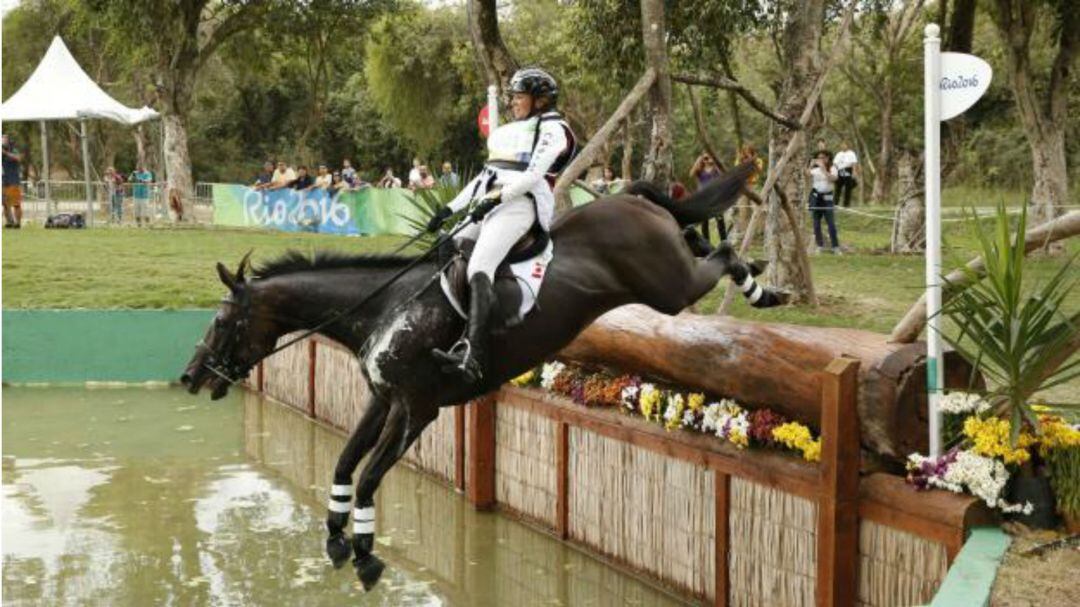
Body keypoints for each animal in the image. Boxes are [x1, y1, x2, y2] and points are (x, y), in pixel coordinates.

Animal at [179, 160, 786, 587]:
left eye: (223, 320)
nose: (190, 376)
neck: (384, 308)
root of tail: (630, 198)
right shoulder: (383, 400)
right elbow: (346, 464)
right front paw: (335, 538)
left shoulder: (416, 409)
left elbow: (370, 476)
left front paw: (366, 556)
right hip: (668, 271)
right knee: (701, 239)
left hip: (669, 289)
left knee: (722, 255)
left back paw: (764, 288)